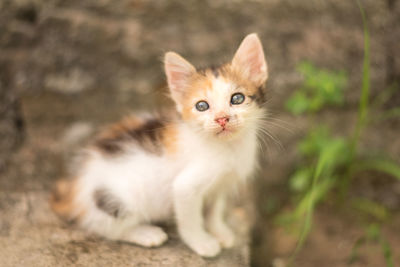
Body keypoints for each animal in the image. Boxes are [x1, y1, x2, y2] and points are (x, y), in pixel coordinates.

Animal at [50, 32, 268, 258]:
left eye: (237, 98)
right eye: (202, 106)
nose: (222, 119)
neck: (226, 147)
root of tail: (73, 191)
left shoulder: (222, 183)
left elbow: (215, 209)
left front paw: (220, 231)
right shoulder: (184, 187)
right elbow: (190, 220)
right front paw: (203, 243)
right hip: (121, 197)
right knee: (105, 227)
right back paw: (146, 234)